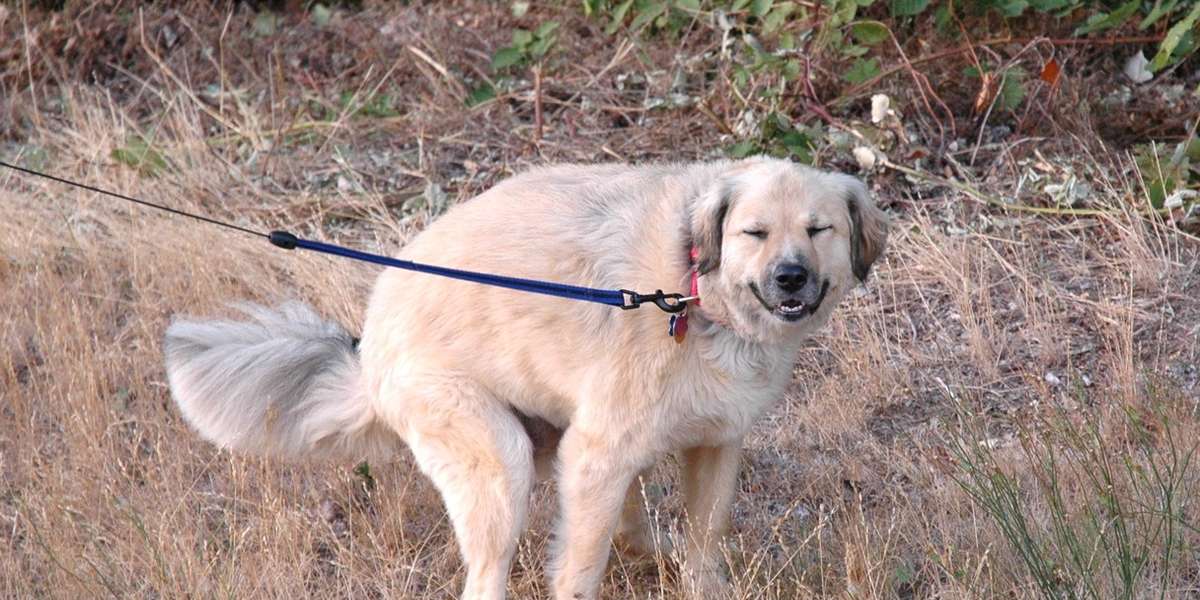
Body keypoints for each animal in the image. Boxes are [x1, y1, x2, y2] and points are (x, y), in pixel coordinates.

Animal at [162, 157, 892, 597]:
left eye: (818, 229)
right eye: (754, 232)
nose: (791, 277)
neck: (690, 289)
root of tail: (367, 351)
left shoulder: (714, 446)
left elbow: (704, 541)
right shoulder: (597, 457)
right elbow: (578, 569)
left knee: (627, 521)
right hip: (500, 462)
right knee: (488, 575)